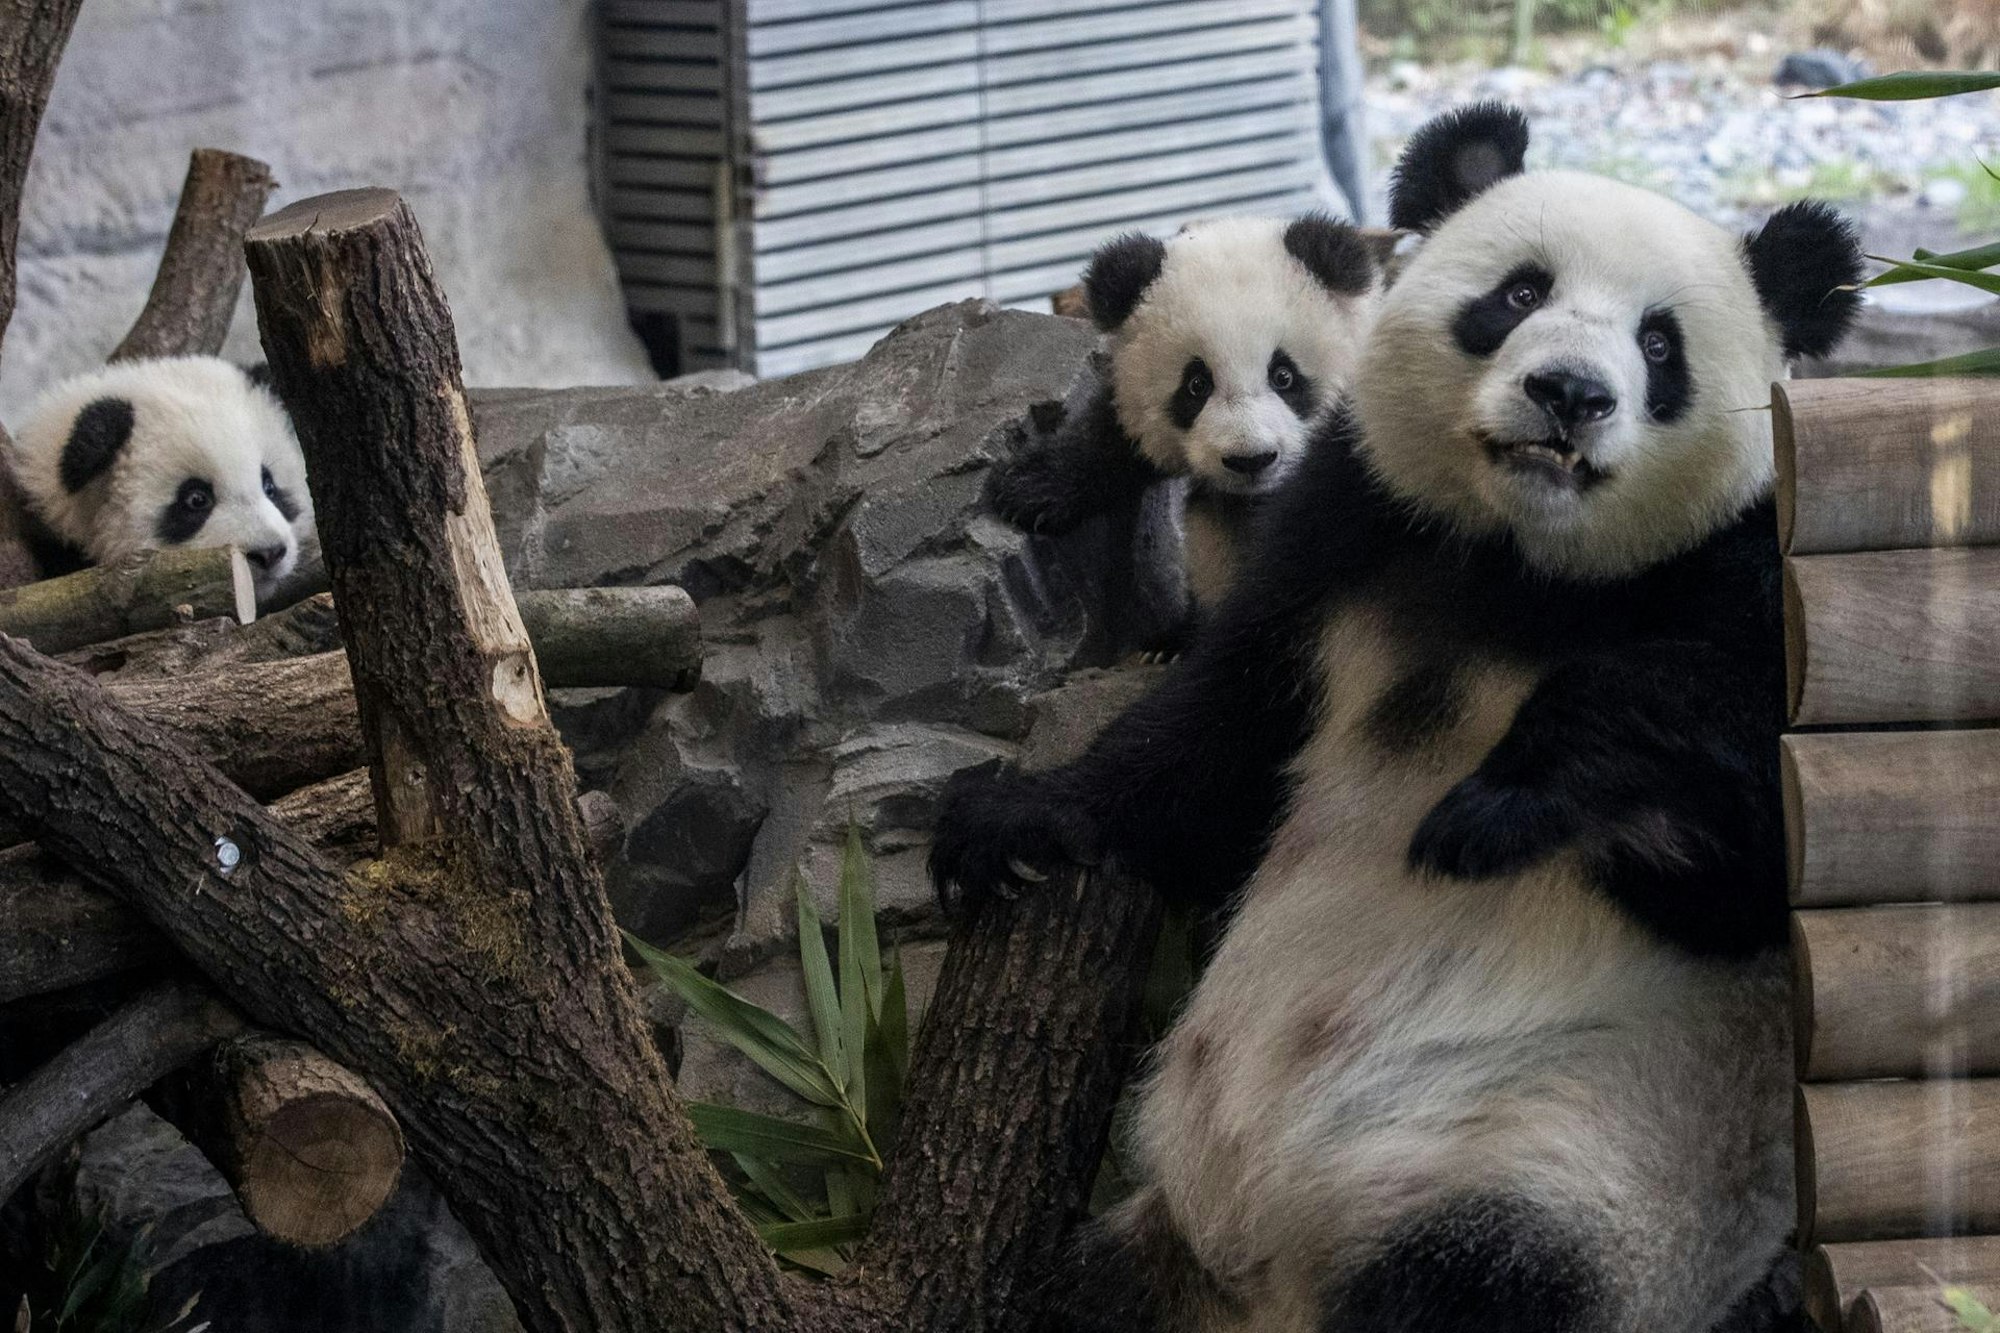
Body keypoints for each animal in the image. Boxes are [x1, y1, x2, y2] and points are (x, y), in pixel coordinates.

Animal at [986, 214, 1389, 614]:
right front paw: (1029, 488)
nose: (1250, 460)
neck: (1254, 499)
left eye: (1283, 376)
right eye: (1196, 385)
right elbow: (1108, 439)